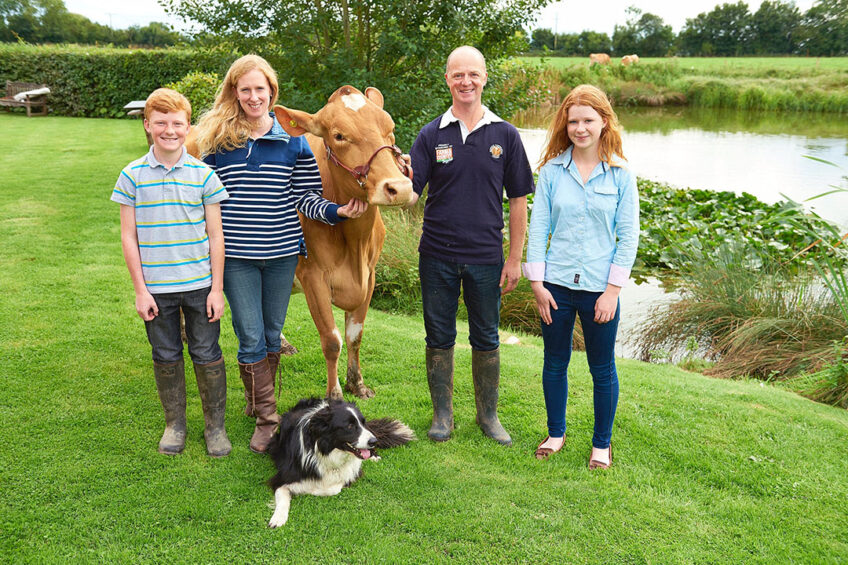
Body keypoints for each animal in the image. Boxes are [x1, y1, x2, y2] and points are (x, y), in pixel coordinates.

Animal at [264, 394, 412, 528]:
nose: (374, 441)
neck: (327, 451)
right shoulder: (282, 477)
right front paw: (278, 518)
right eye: (350, 426)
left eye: (363, 423)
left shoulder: (351, 472)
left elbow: (333, 488)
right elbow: (283, 494)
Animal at [274, 86, 416, 398]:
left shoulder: (370, 275)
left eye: (390, 129)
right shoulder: (312, 276)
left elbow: (354, 335)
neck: (354, 244)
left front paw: (357, 384)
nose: (399, 188)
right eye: (339, 136)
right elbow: (331, 340)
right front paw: (335, 394)